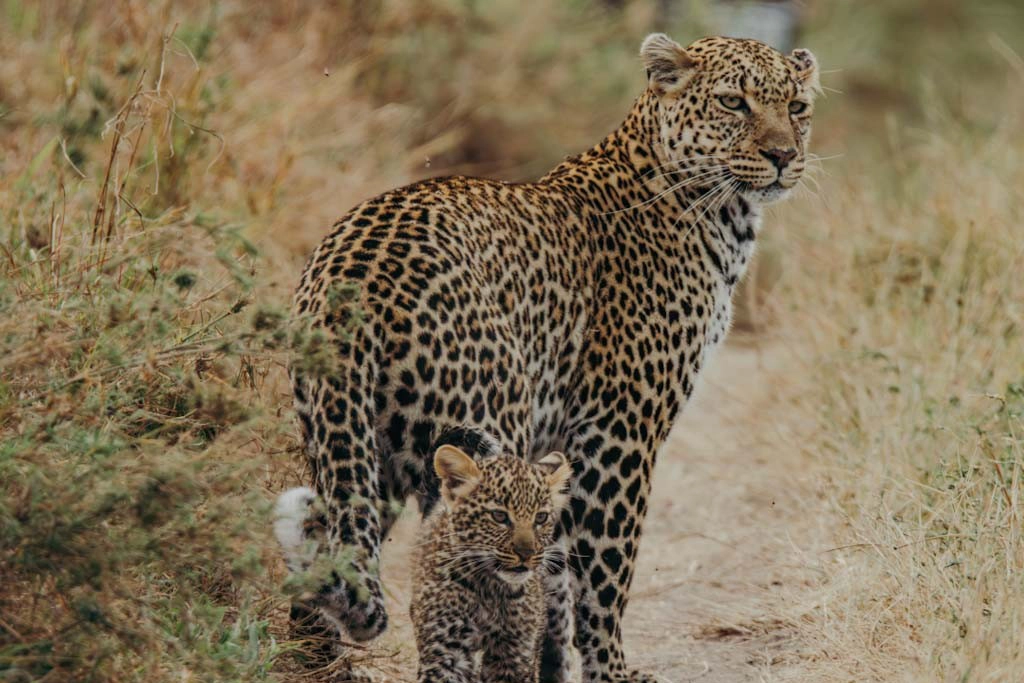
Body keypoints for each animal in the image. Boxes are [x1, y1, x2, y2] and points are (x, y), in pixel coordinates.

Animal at [410, 446, 572, 683]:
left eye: (541, 518)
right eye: (499, 516)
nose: (526, 554)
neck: (490, 588)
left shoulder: (514, 654)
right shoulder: (445, 649)